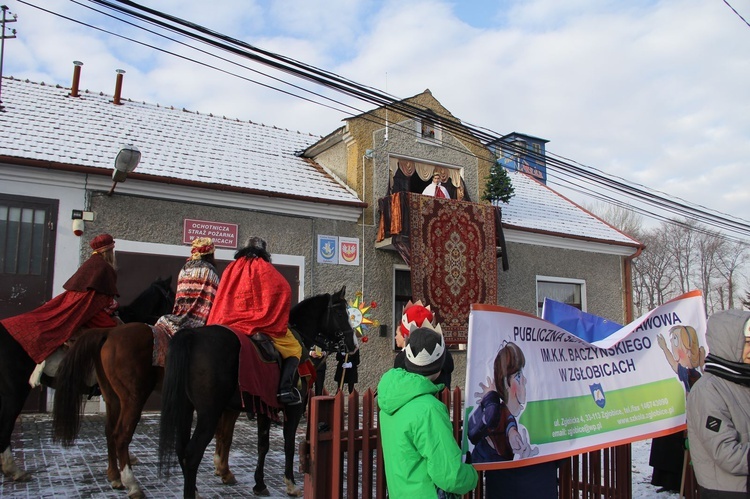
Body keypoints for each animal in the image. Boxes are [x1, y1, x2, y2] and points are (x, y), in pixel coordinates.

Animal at [158, 288, 356, 498]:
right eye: (340, 313)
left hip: (185, 408)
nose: (353, 344)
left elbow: (263, 445)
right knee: (192, 453)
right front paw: (291, 483)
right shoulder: (294, 409)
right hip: (209, 413)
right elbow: (289, 444)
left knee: (181, 448)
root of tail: (191, 336)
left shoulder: (264, 407)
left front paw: (259, 484)